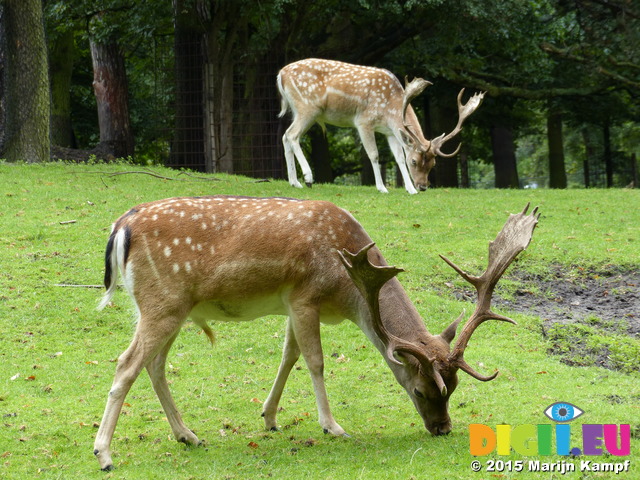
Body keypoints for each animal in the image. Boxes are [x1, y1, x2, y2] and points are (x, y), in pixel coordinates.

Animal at [92, 196, 536, 472]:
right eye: (421, 391)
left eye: (454, 388)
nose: (443, 428)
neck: (348, 288)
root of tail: (120, 227)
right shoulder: (305, 297)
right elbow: (315, 361)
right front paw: (331, 426)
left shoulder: (292, 304)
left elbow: (288, 356)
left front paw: (269, 417)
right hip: (162, 301)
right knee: (126, 364)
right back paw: (104, 453)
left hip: (171, 308)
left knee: (154, 366)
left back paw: (188, 435)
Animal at [276, 59, 484, 194]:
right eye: (414, 161)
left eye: (433, 164)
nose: (423, 186)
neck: (390, 109)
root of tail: (280, 74)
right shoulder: (364, 122)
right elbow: (374, 155)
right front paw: (382, 187)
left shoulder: (390, 131)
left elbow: (398, 157)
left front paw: (410, 189)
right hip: (308, 108)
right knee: (292, 135)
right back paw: (308, 178)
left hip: (301, 111)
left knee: (285, 135)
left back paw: (294, 182)